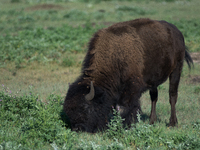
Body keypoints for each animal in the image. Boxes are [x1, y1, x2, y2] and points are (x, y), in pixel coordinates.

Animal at [63, 17, 193, 132]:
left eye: (85, 108)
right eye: (68, 109)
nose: (77, 128)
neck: (115, 55)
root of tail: (178, 33)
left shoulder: (132, 88)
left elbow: (127, 107)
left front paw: (127, 125)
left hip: (176, 70)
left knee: (172, 96)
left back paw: (172, 123)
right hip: (154, 81)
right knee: (154, 98)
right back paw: (152, 121)